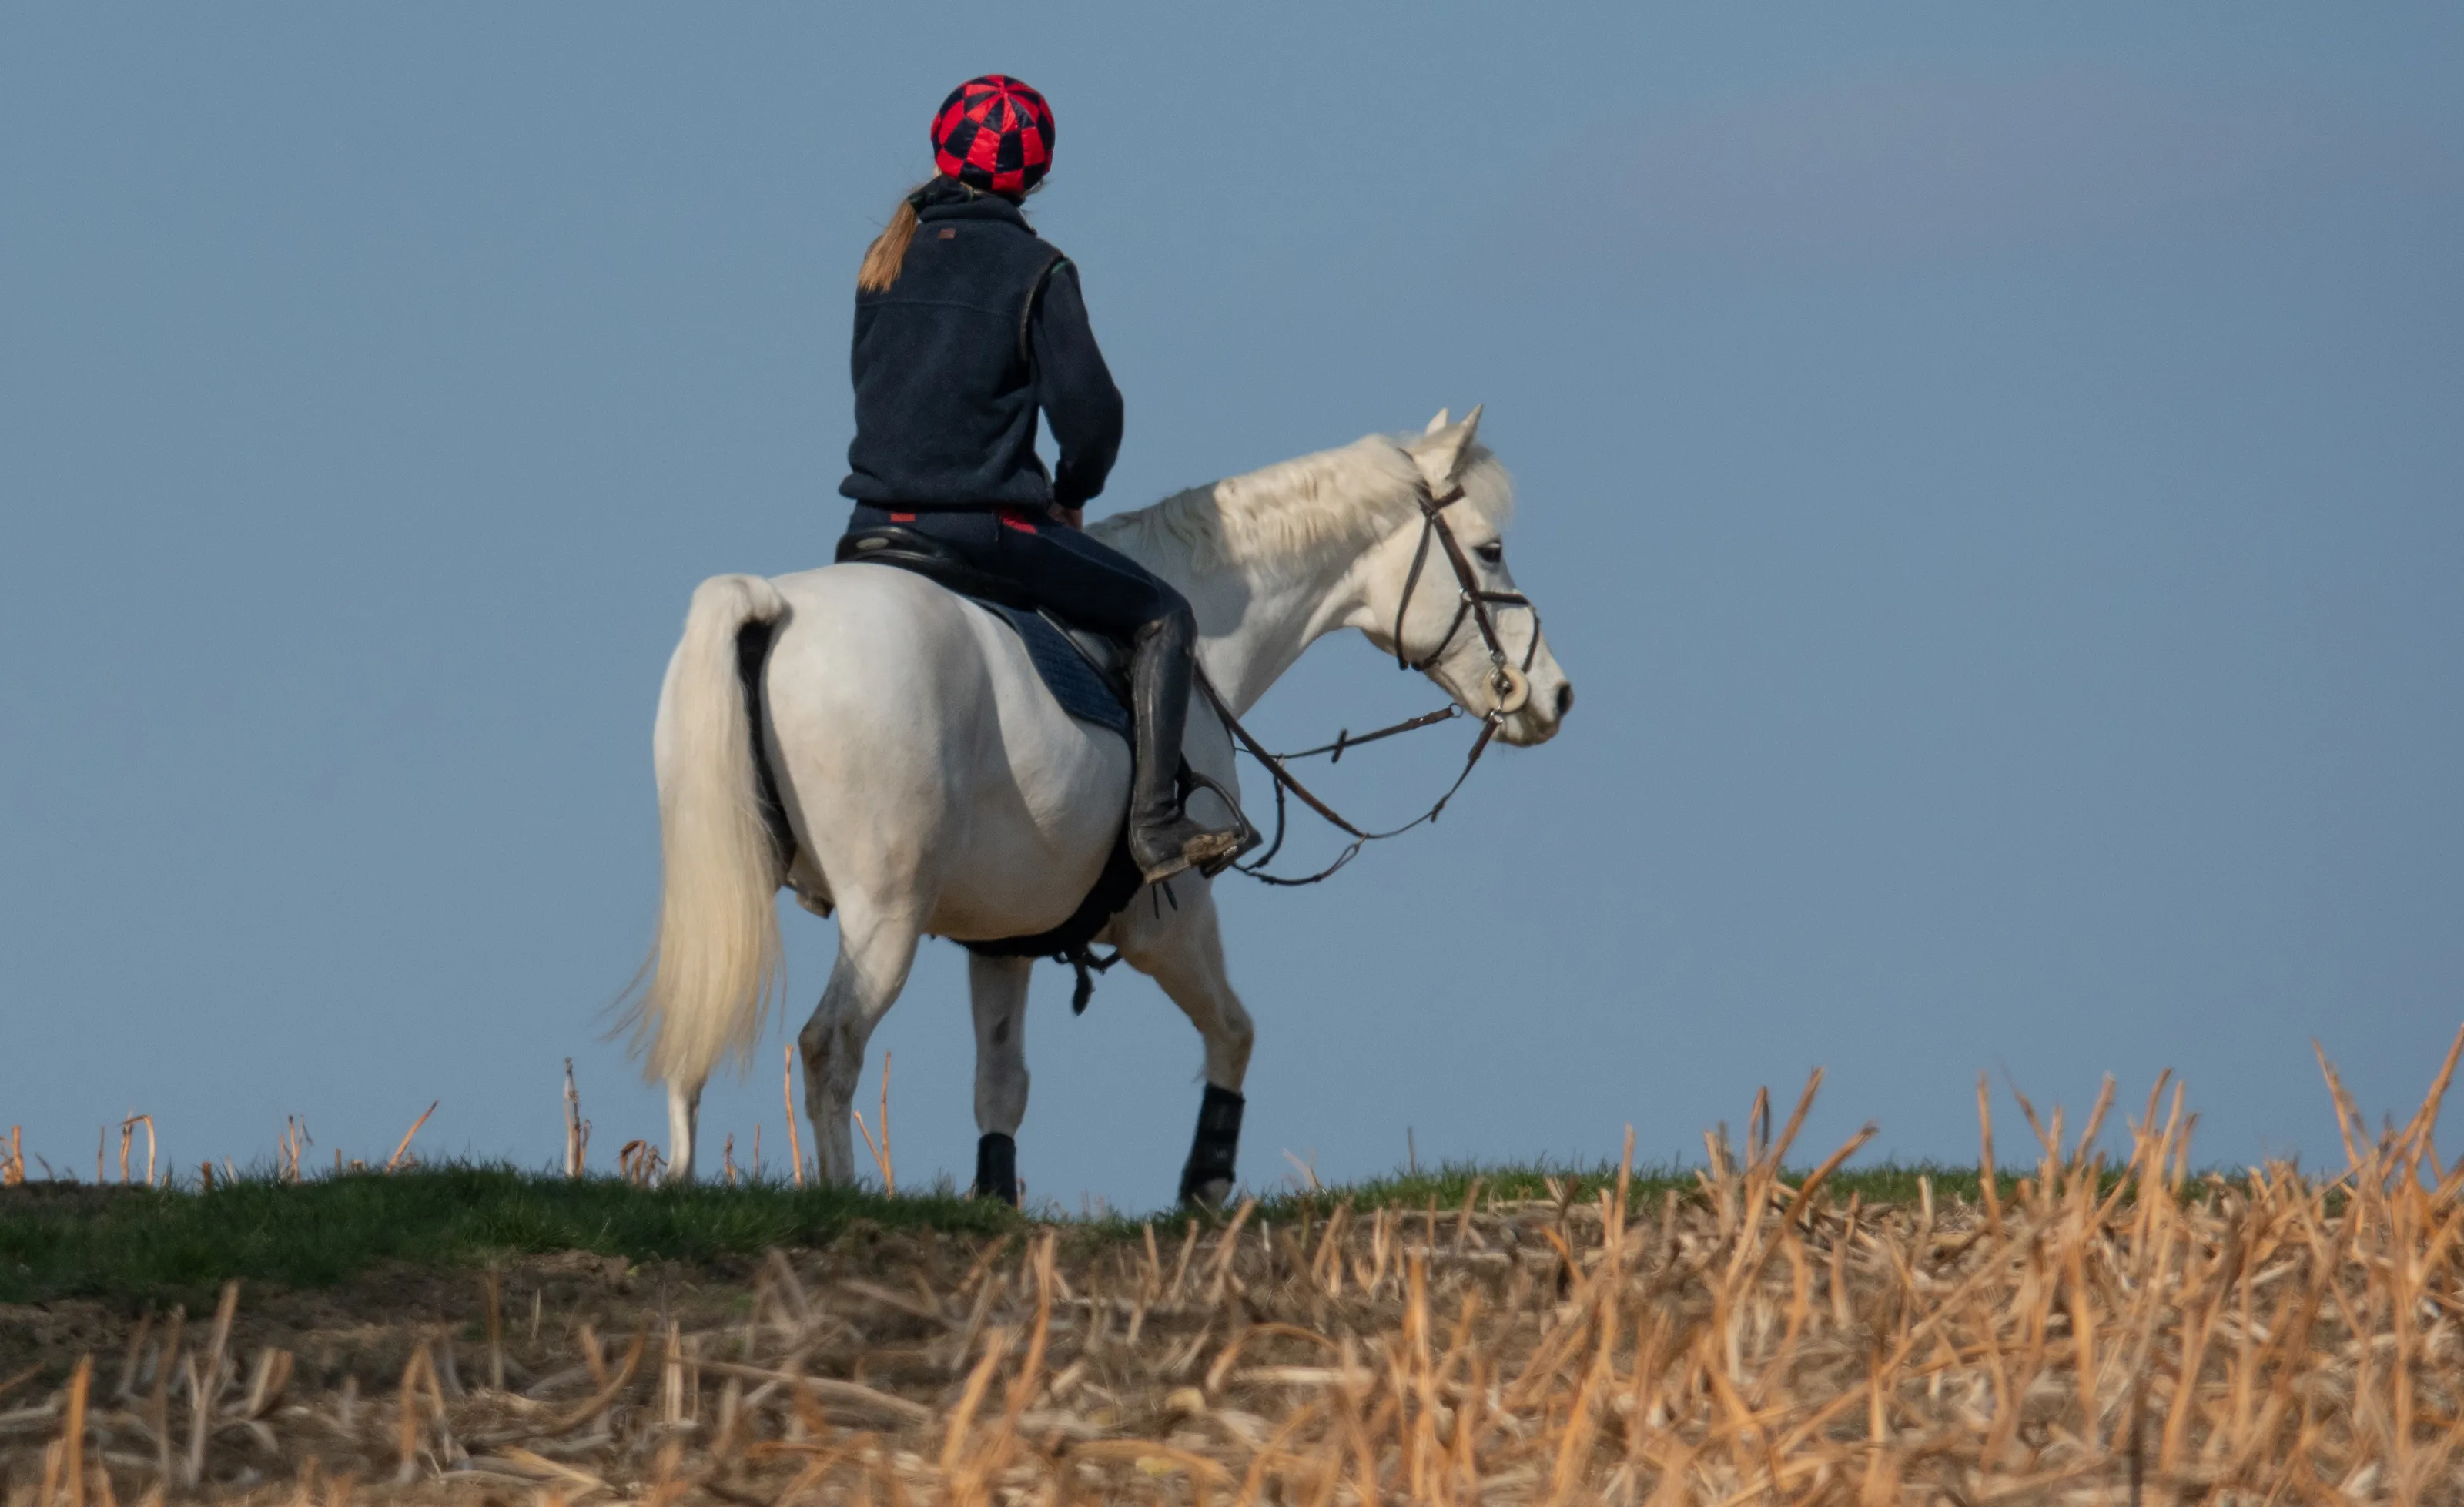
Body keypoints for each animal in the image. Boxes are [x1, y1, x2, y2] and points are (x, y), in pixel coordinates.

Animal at [624, 406, 1573, 1203]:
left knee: (699, 1022)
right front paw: (1205, 1184)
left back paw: (679, 1184)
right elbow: (1234, 1031)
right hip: (883, 912)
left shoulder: (1002, 937)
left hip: (732, 886)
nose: (1555, 695)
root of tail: (773, 602)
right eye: (1490, 550)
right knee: (831, 1046)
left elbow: (1001, 1087)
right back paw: (843, 1200)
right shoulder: (1168, 918)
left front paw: (997, 1206)